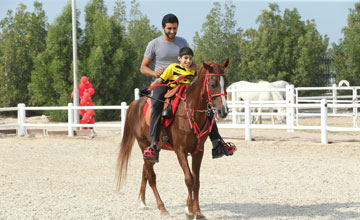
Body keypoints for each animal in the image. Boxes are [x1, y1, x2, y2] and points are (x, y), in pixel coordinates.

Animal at [116, 58, 229, 220]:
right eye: (212, 84)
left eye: (226, 83)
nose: (223, 111)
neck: (190, 112)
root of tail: (135, 104)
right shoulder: (180, 151)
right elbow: (189, 179)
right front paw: (189, 211)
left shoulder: (198, 151)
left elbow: (196, 181)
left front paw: (197, 211)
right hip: (143, 144)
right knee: (151, 176)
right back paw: (161, 207)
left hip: (153, 151)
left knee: (145, 170)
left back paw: (142, 201)